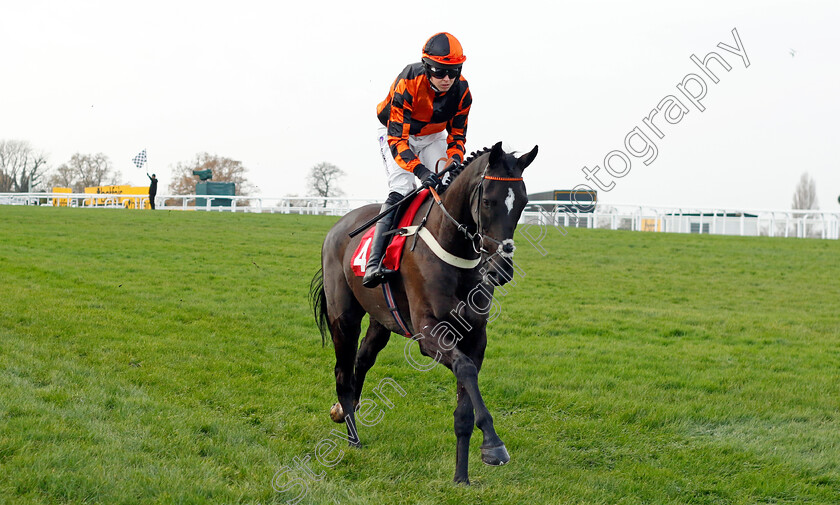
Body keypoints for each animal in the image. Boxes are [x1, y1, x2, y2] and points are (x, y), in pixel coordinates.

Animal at [310, 140, 540, 482]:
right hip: (344, 317)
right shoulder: (430, 332)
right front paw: (494, 445)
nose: (501, 269)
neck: (453, 249)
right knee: (343, 372)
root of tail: (338, 226)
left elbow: (465, 405)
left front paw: (462, 477)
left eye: (523, 203)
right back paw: (353, 439)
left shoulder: (475, 336)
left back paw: (344, 412)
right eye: (488, 201)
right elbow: (465, 369)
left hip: (382, 319)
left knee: (362, 360)